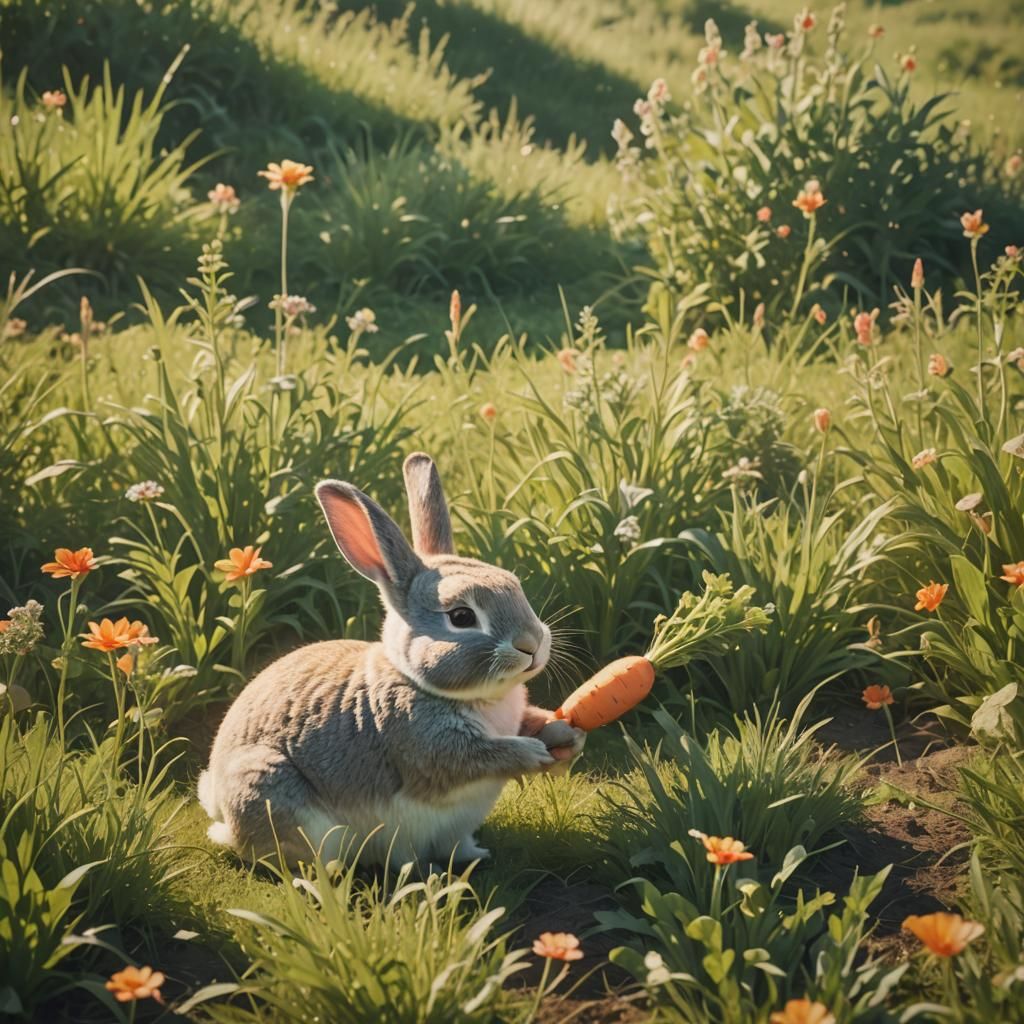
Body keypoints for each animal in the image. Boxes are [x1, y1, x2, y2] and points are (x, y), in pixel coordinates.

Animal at [198, 452, 585, 867]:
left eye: (516, 586)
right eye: (461, 617)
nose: (531, 643)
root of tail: (217, 802)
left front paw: (566, 735)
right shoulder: (424, 744)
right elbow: (475, 758)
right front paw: (531, 753)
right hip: (270, 789)